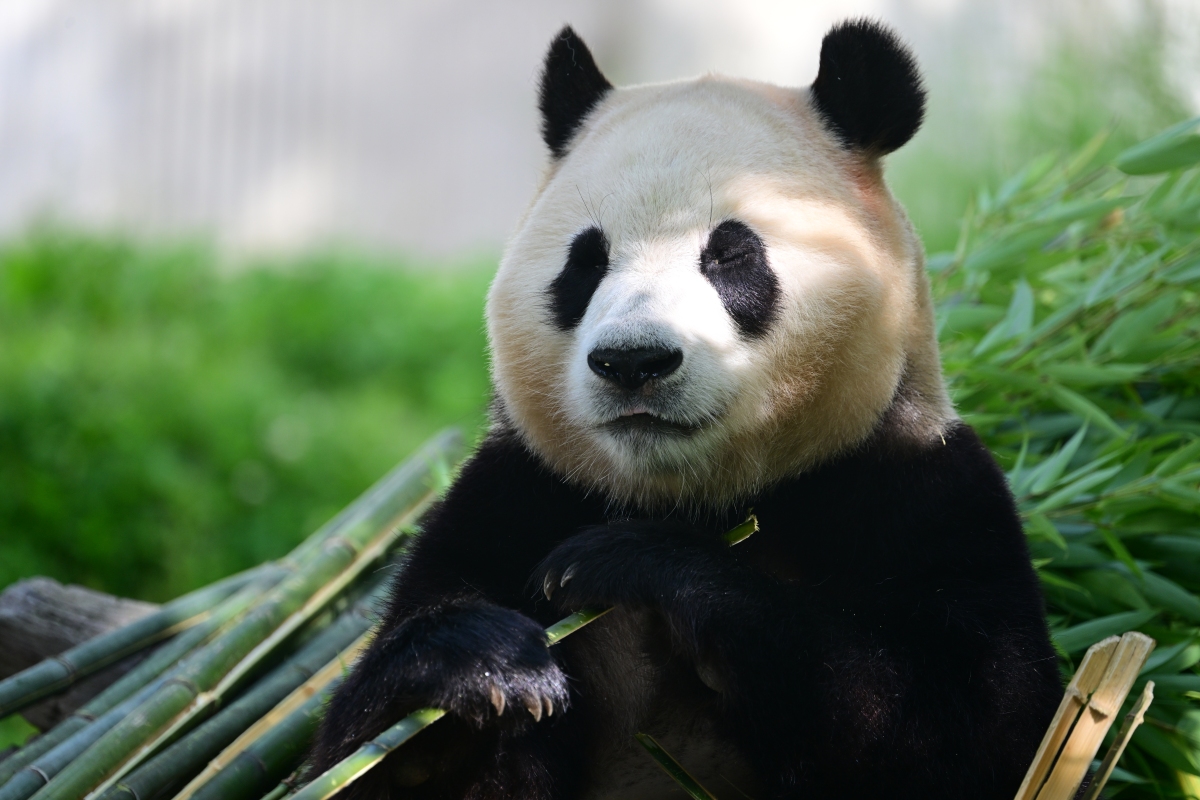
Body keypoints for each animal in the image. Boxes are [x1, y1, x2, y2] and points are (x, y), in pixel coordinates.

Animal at [310, 20, 1063, 800]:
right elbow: (353, 754)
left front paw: (630, 562)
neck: (689, 496)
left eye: (730, 256)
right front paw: (484, 664)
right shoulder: (513, 495)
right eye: (586, 262)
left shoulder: (919, 491)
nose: (633, 362)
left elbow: (970, 726)